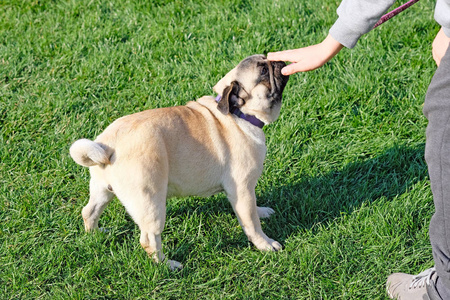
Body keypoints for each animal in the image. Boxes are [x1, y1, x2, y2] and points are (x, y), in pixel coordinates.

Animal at [69, 54, 288, 270]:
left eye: (266, 58)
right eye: (263, 72)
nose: (278, 61)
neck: (239, 114)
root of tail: (108, 146)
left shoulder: (246, 191)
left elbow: (253, 208)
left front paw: (262, 211)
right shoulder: (242, 189)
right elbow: (251, 221)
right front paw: (265, 244)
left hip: (102, 189)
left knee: (89, 211)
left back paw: (96, 234)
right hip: (151, 201)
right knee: (149, 239)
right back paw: (168, 265)